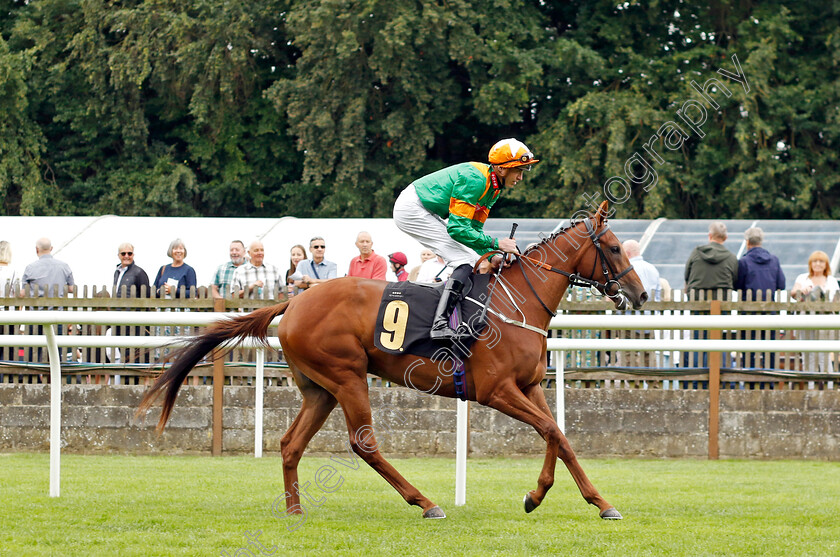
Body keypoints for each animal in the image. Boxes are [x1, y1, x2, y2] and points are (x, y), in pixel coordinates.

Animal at [139, 201, 648, 520]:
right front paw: (538, 495)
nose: (641, 295)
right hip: (347, 377)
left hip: (320, 389)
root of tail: (294, 300)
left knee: (289, 444)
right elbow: (550, 431)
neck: (516, 300)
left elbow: (558, 435)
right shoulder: (496, 390)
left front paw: (596, 501)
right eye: (614, 248)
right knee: (363, 445)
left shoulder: (530, 386)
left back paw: (295, 509)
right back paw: (425, 502)